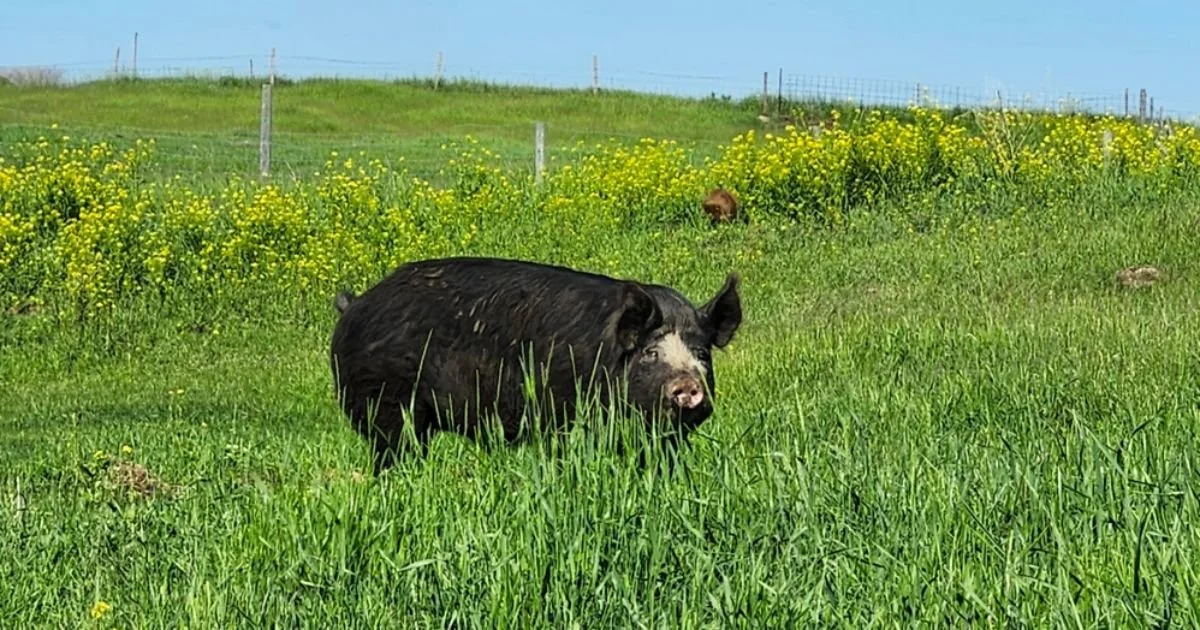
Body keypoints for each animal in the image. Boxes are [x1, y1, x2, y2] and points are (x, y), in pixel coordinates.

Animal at [329, 256, 743, 472]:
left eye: (702, 354)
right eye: (650, 352)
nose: (687, 385)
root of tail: (355, 304)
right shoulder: (561, 416)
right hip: (384, 405)